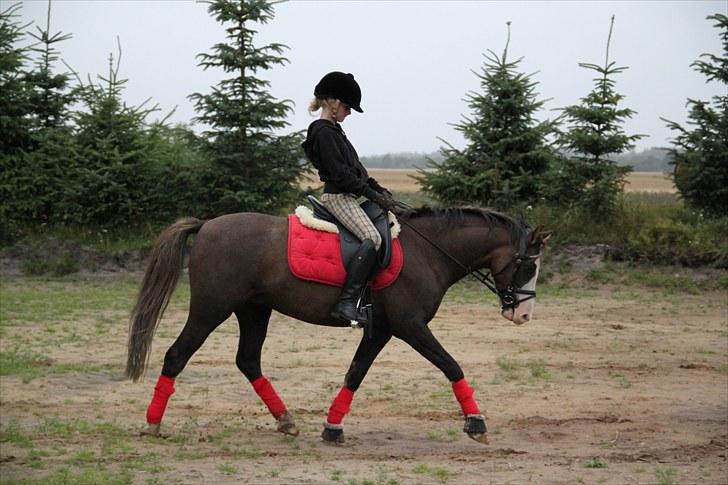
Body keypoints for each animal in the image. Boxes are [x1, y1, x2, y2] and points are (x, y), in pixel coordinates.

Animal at [126, 206, 550, 444]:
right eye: (527, 266)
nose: (524, 315)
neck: (428, 252)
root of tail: (208, 225)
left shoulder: (382, 330)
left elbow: (355, 373)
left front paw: (332, 428)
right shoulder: (410, 326)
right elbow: (451, 365)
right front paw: (476, 423)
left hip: (254, 310)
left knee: (248, 361)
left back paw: (286, 421)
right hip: (211, 309)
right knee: (176, 355)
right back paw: (151, 426)